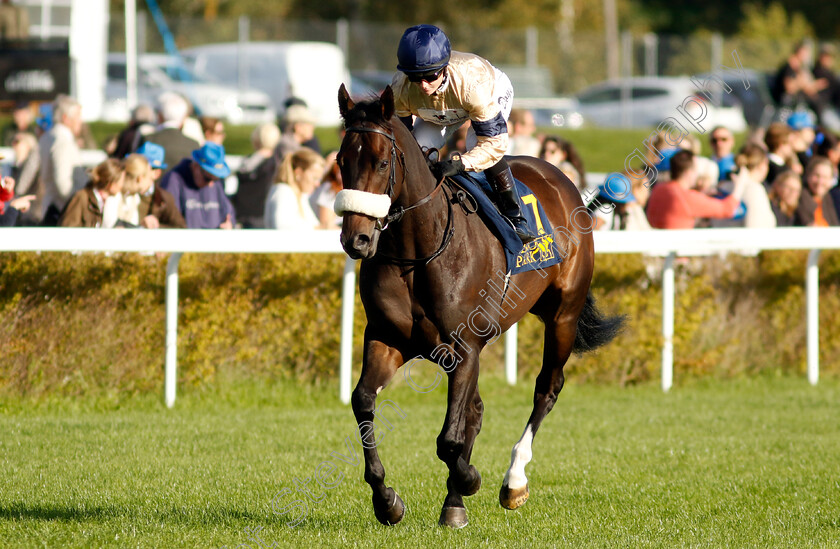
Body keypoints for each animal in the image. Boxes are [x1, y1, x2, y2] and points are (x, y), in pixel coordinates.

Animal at [334, 84, 624, 528]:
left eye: (382, 162)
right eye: (341, 161)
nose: (357, 239)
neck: (419, 249)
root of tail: (561, 178)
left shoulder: (464, 345)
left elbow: (449, 439)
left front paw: (468, 479)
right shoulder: (387, 337)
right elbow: (364, 402)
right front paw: (387, 500)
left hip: (563, 315)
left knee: (546, 389)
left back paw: (513, 481)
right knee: (476, 409)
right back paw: (455, 502)